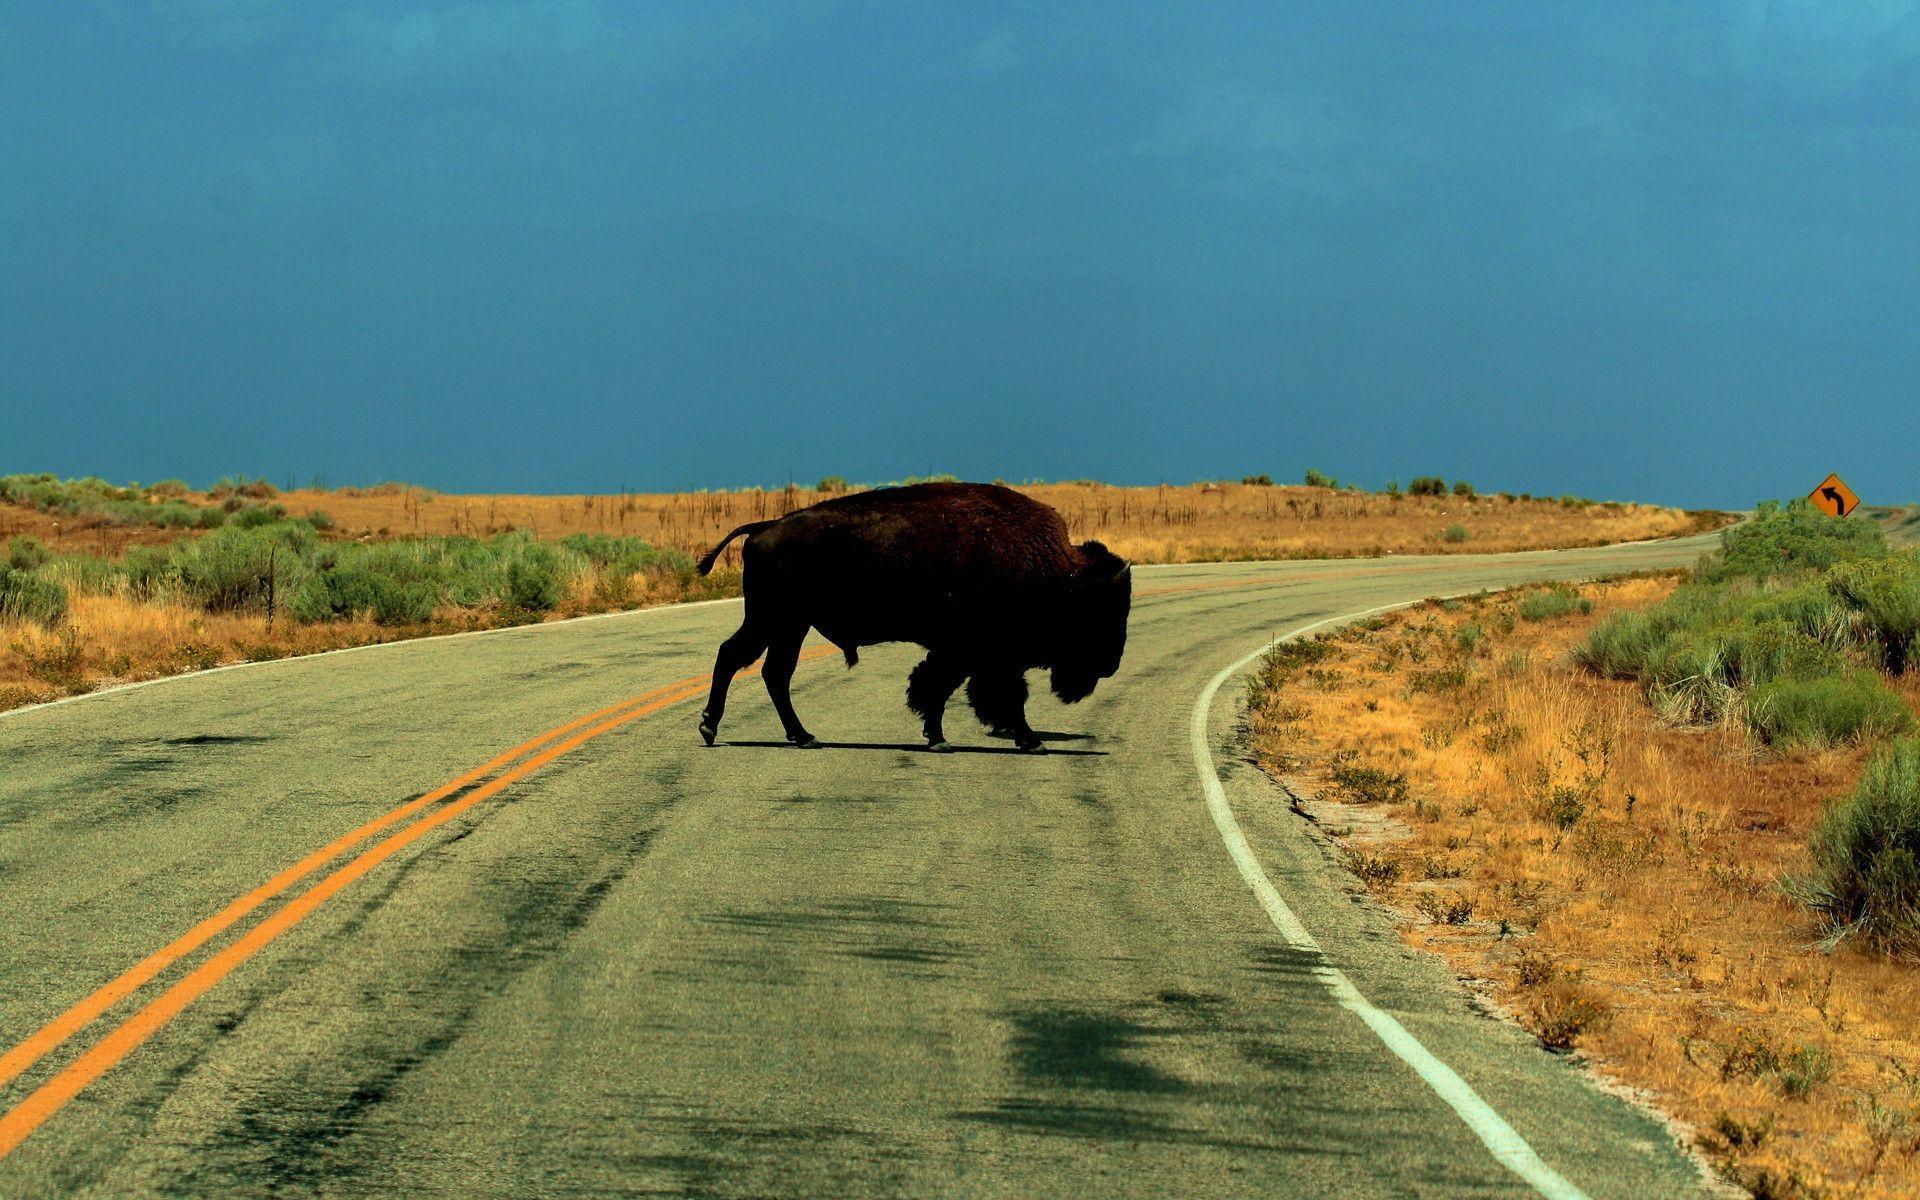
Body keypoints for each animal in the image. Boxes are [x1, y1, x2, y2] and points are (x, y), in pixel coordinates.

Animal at [698, 480, 1128, 748]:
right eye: (1101, 610)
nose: (1110, 665)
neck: (1054, 573)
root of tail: (765, 527)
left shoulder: (963, 653)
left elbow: (939, 687)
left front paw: (937, 737)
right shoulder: (982, 654)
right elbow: (991, 694)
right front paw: (1030, 740)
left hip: (790, 626)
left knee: (772, 672)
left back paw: (803, 736)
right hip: (773, 620)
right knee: (736, 657)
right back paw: (710, 727)